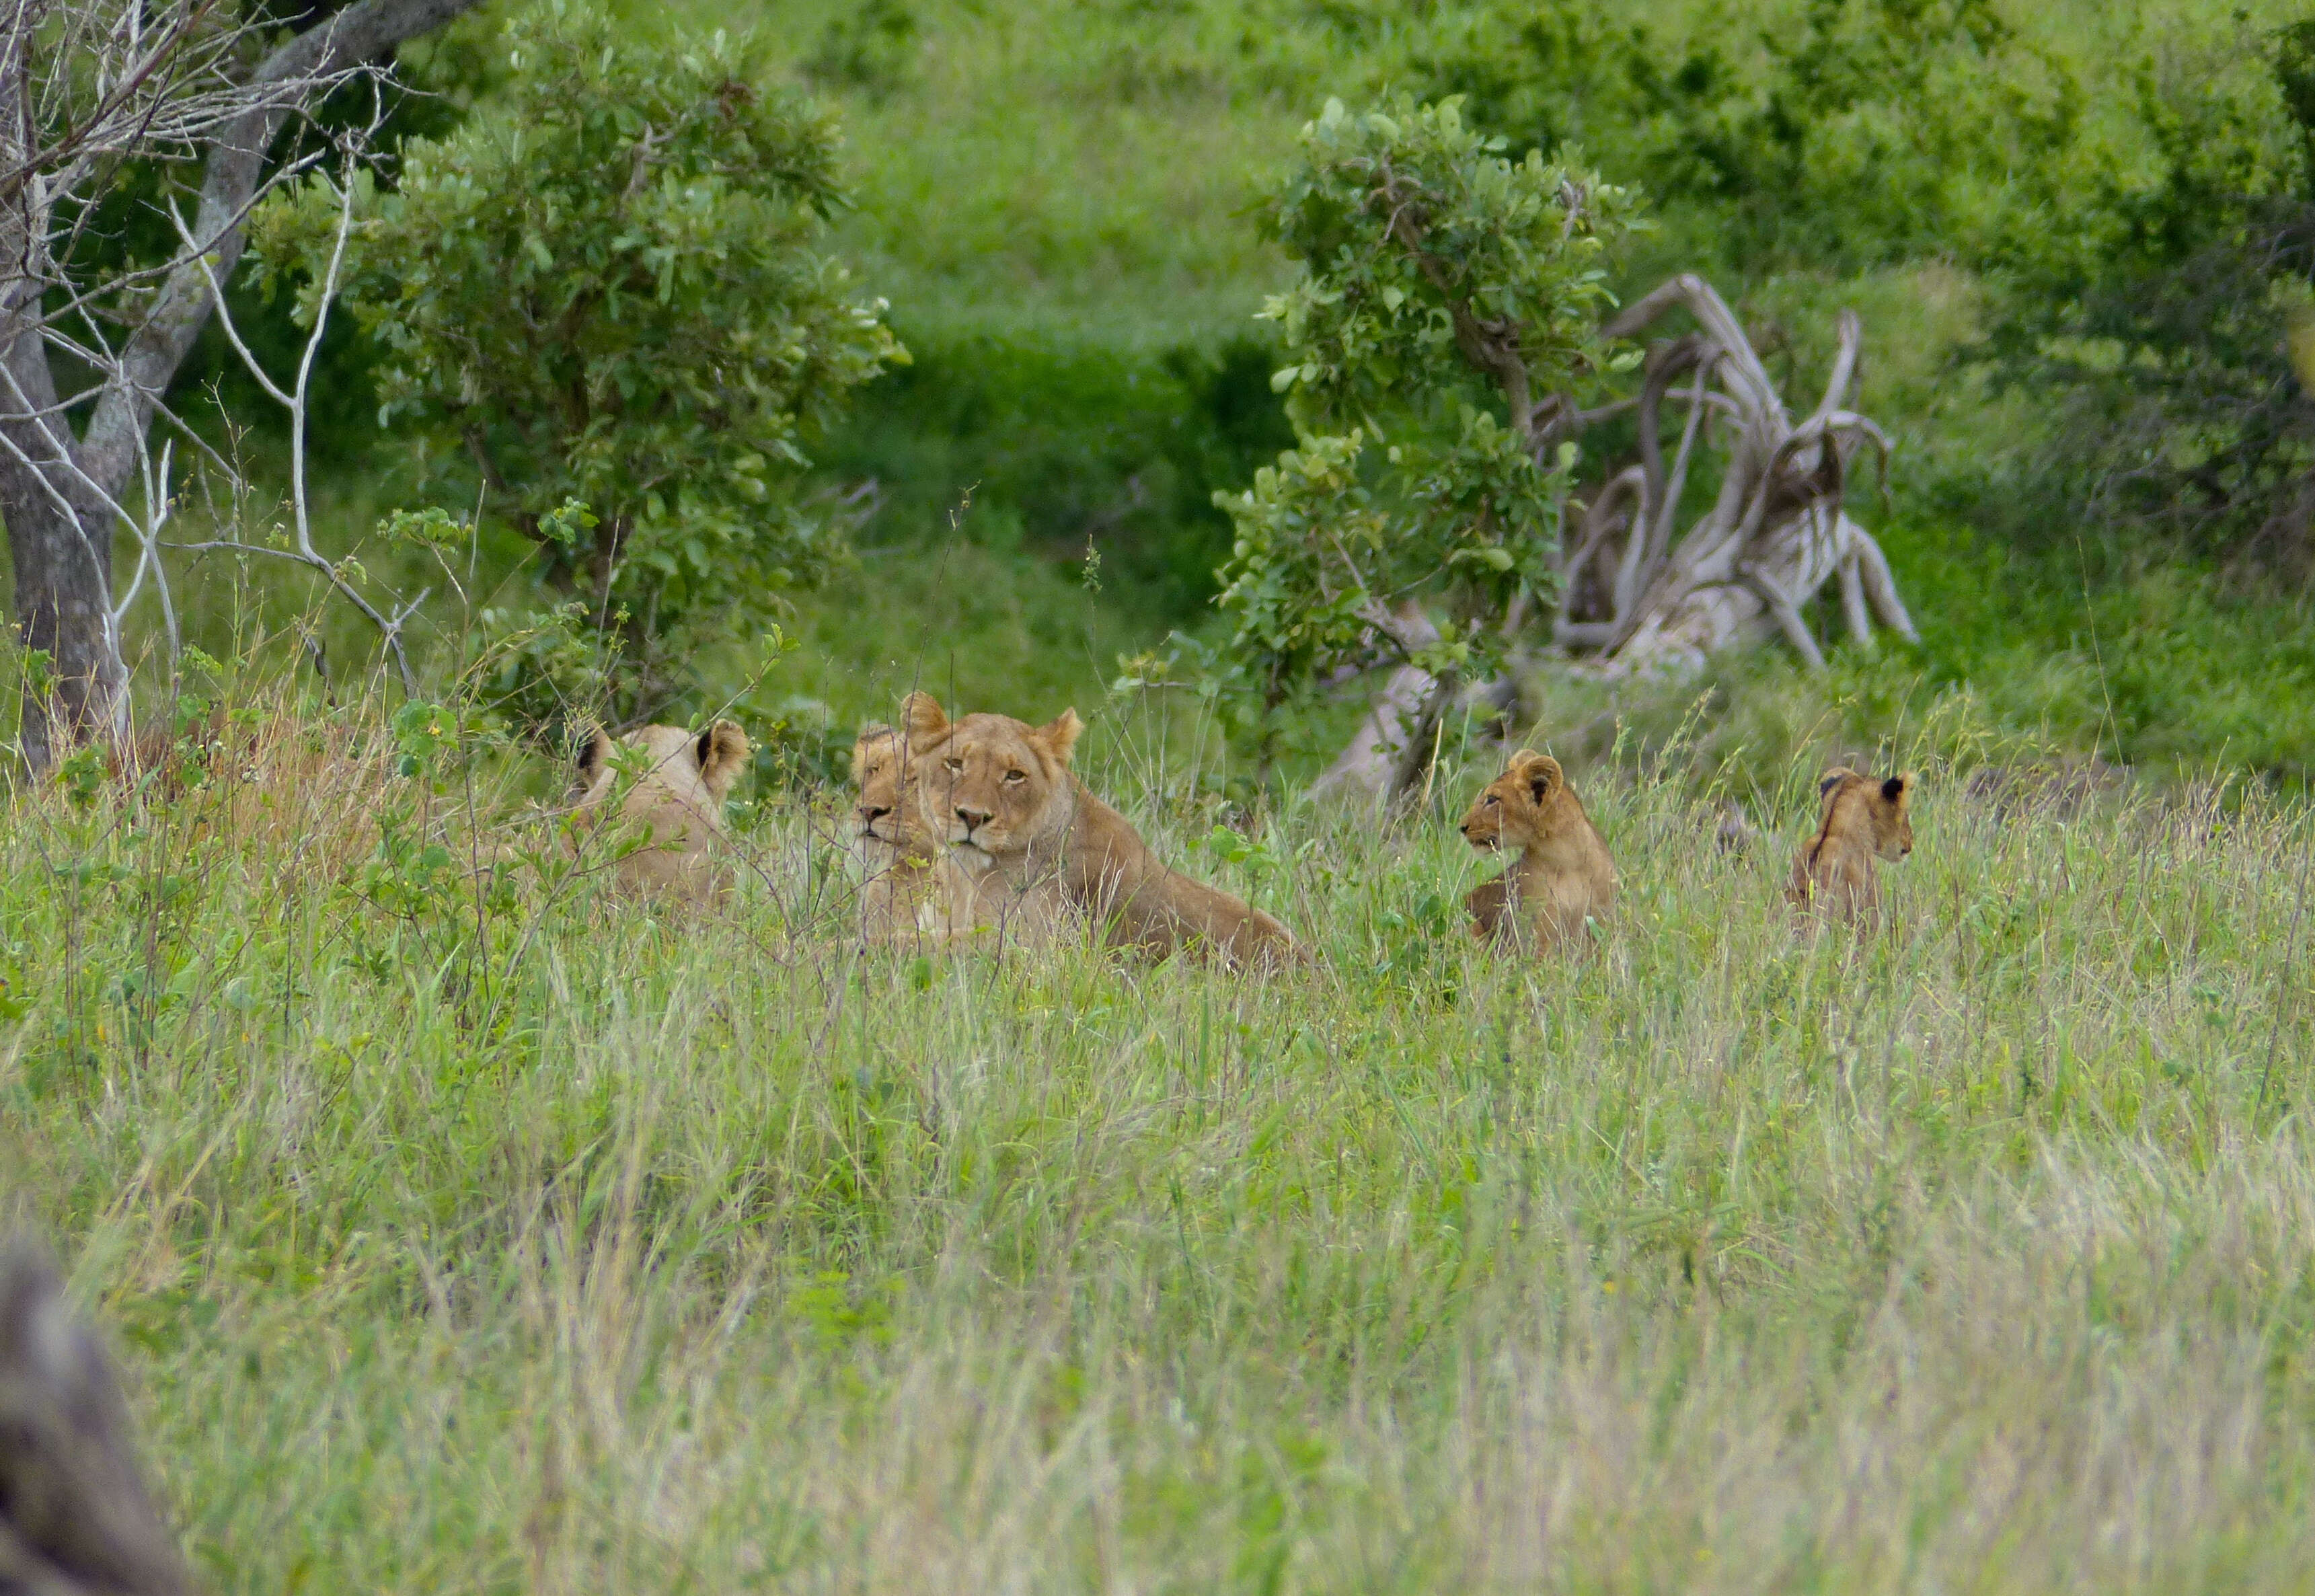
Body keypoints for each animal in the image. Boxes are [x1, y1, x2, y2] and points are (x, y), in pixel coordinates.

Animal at [893, 690, 1296, 963]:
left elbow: (930, 943)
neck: (965, 878)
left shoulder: (1034, 950)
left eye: (1014, 775)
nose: (973, 817)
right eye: (955, 763)